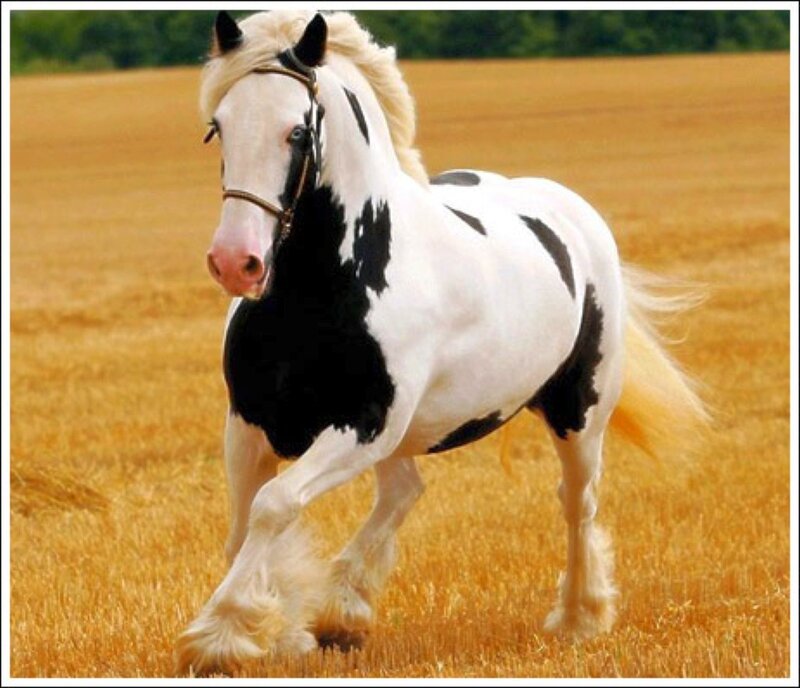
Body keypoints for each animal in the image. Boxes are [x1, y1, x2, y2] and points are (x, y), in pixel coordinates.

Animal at [176, 10, 707, 675]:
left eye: (297, 131)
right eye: (217, 128)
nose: (236, 262)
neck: (323, 288)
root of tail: (572, 211)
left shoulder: (362, 426)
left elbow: (273, 506)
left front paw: (217, 635)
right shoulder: (250, 422)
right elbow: (245, 523)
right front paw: (279, 628)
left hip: (578, 412)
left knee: (576, 501)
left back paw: (579, 618)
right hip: (411, 431)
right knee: (406, 491)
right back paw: (343, 613)